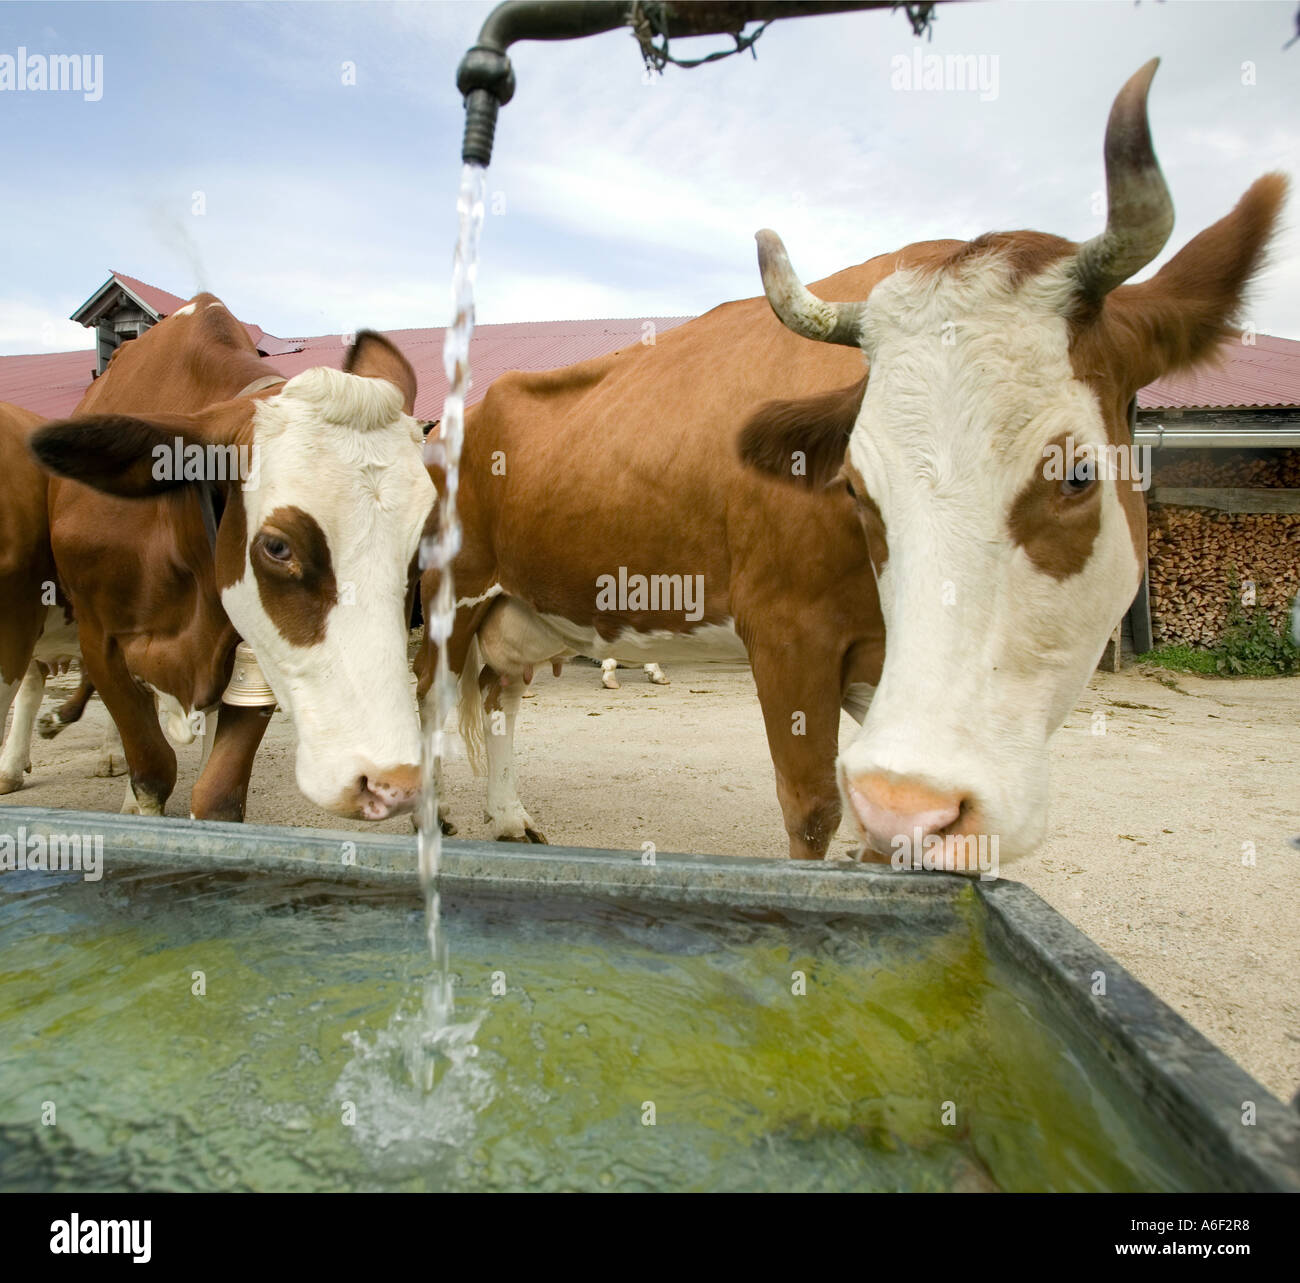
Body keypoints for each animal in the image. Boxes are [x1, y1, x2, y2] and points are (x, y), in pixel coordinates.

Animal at [30, 298, 434, 821]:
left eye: (424, 541)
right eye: (278, 547)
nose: (394, 783)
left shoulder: (254, 659)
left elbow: (217, 796)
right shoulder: (101, 639)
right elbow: (151, 772)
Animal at [423, 60, 1279, 863]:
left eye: (1077, 473)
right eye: (856, 489)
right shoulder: (788, 632)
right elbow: (811, 808)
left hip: (521, 607)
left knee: (499, 692)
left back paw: (508, 814)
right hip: (447, 594)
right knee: (428, 697)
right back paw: (430, 821)